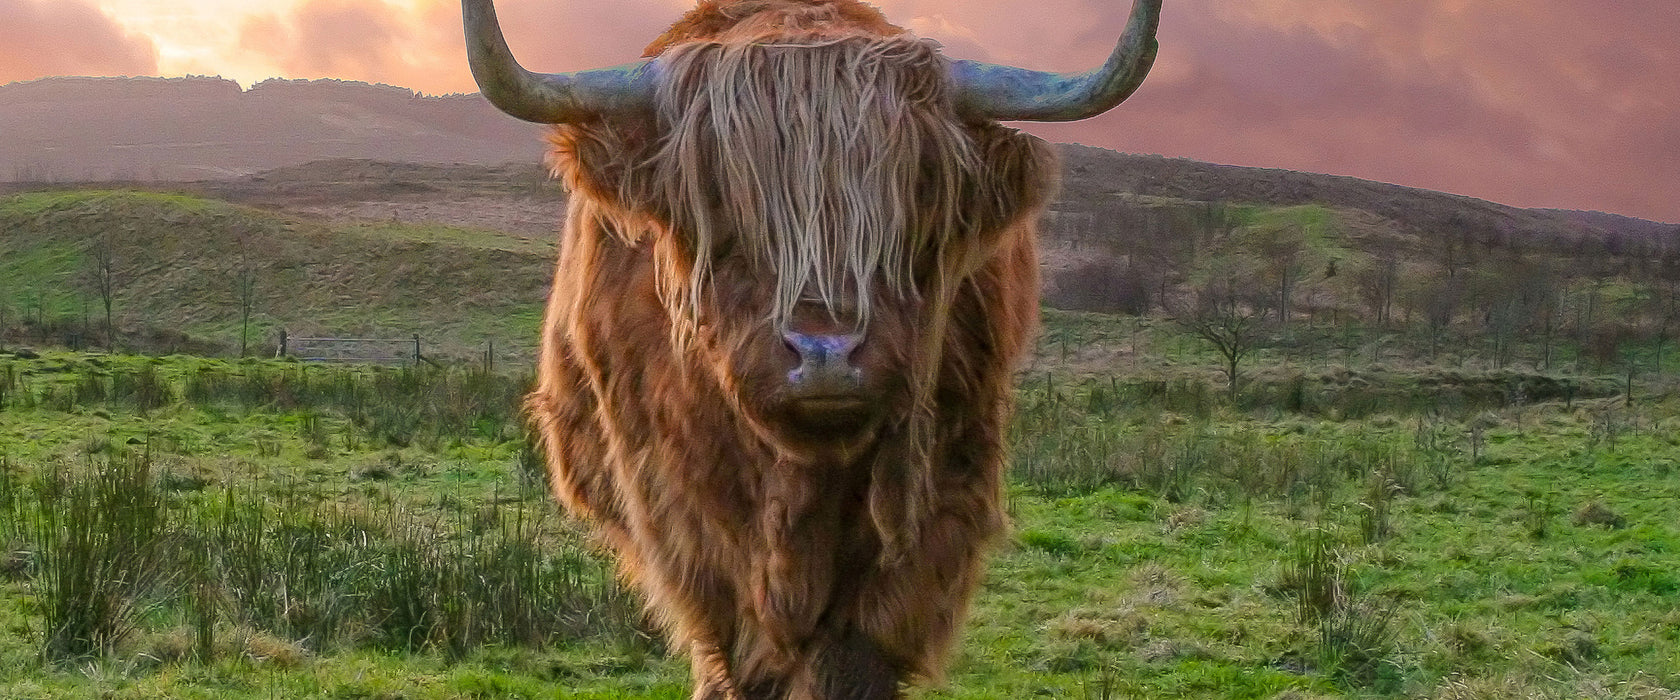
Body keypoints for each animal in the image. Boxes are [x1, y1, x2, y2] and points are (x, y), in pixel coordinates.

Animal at [467, 2, 1162, 694]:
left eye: (916, 192)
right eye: (719, 200)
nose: (824, 352)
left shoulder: (938, 501)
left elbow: (853, 653)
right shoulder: (676, 505)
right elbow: (731, 645)